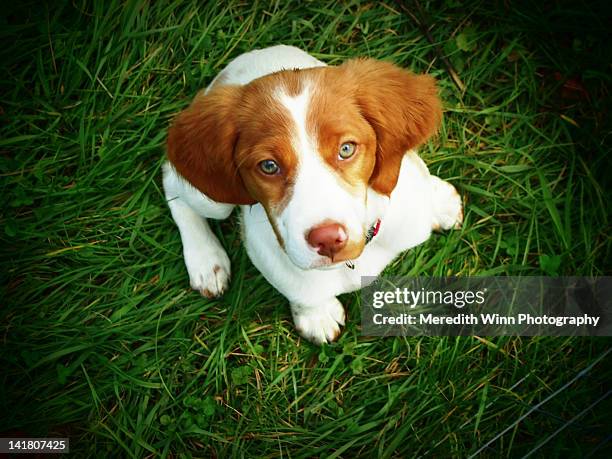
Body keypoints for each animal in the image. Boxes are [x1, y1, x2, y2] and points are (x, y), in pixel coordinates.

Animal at [161, 45, 460, 344]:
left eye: (346, 149)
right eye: (268, 166)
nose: (327, 239)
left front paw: (439, 202)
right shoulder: (270, 253)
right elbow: (301, 287)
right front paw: (317, 314)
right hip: (213, 200)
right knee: (171, 179)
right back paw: (206, 261)